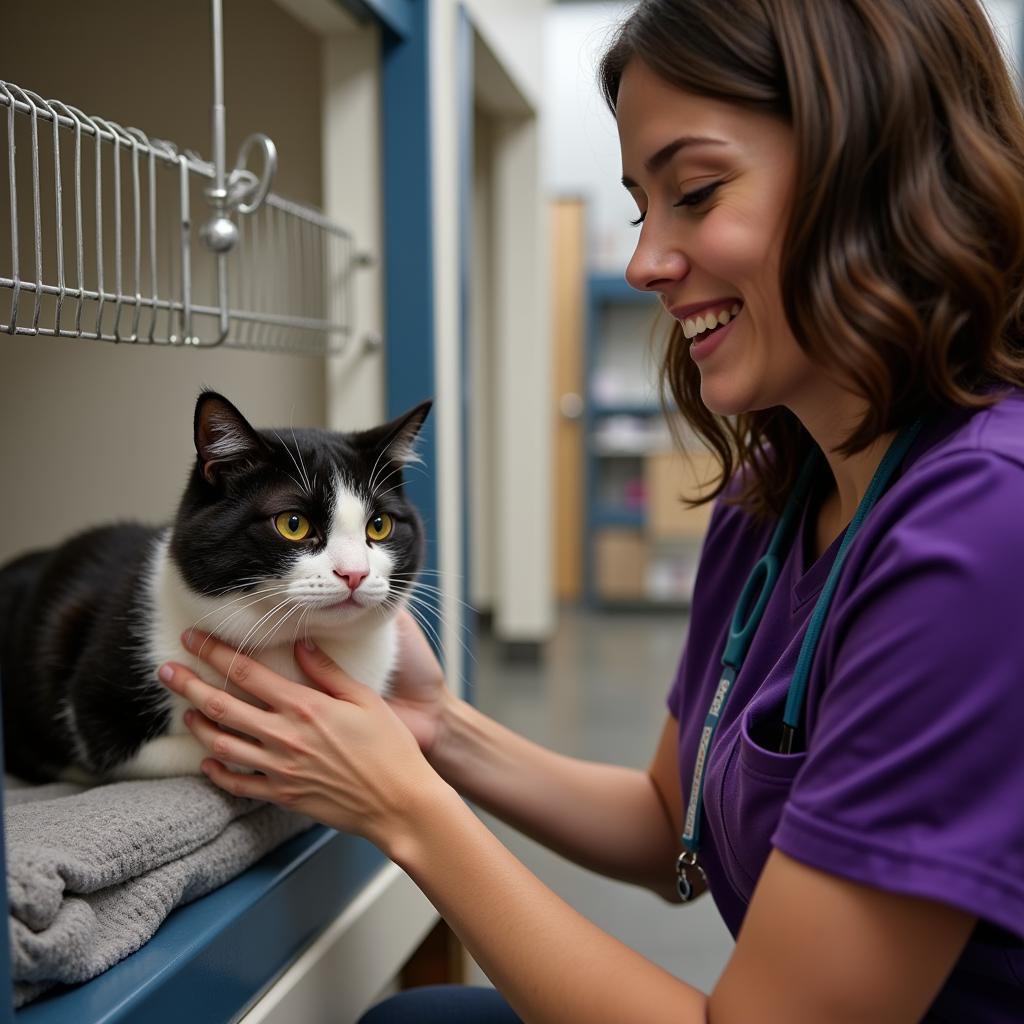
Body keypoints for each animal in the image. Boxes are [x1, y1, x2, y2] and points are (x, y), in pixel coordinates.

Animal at [0, 391, 428, 782]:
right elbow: (191, 743)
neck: (290, 646)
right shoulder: (97, 714)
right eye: (293, 524)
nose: (354, 573)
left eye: (379, 525)